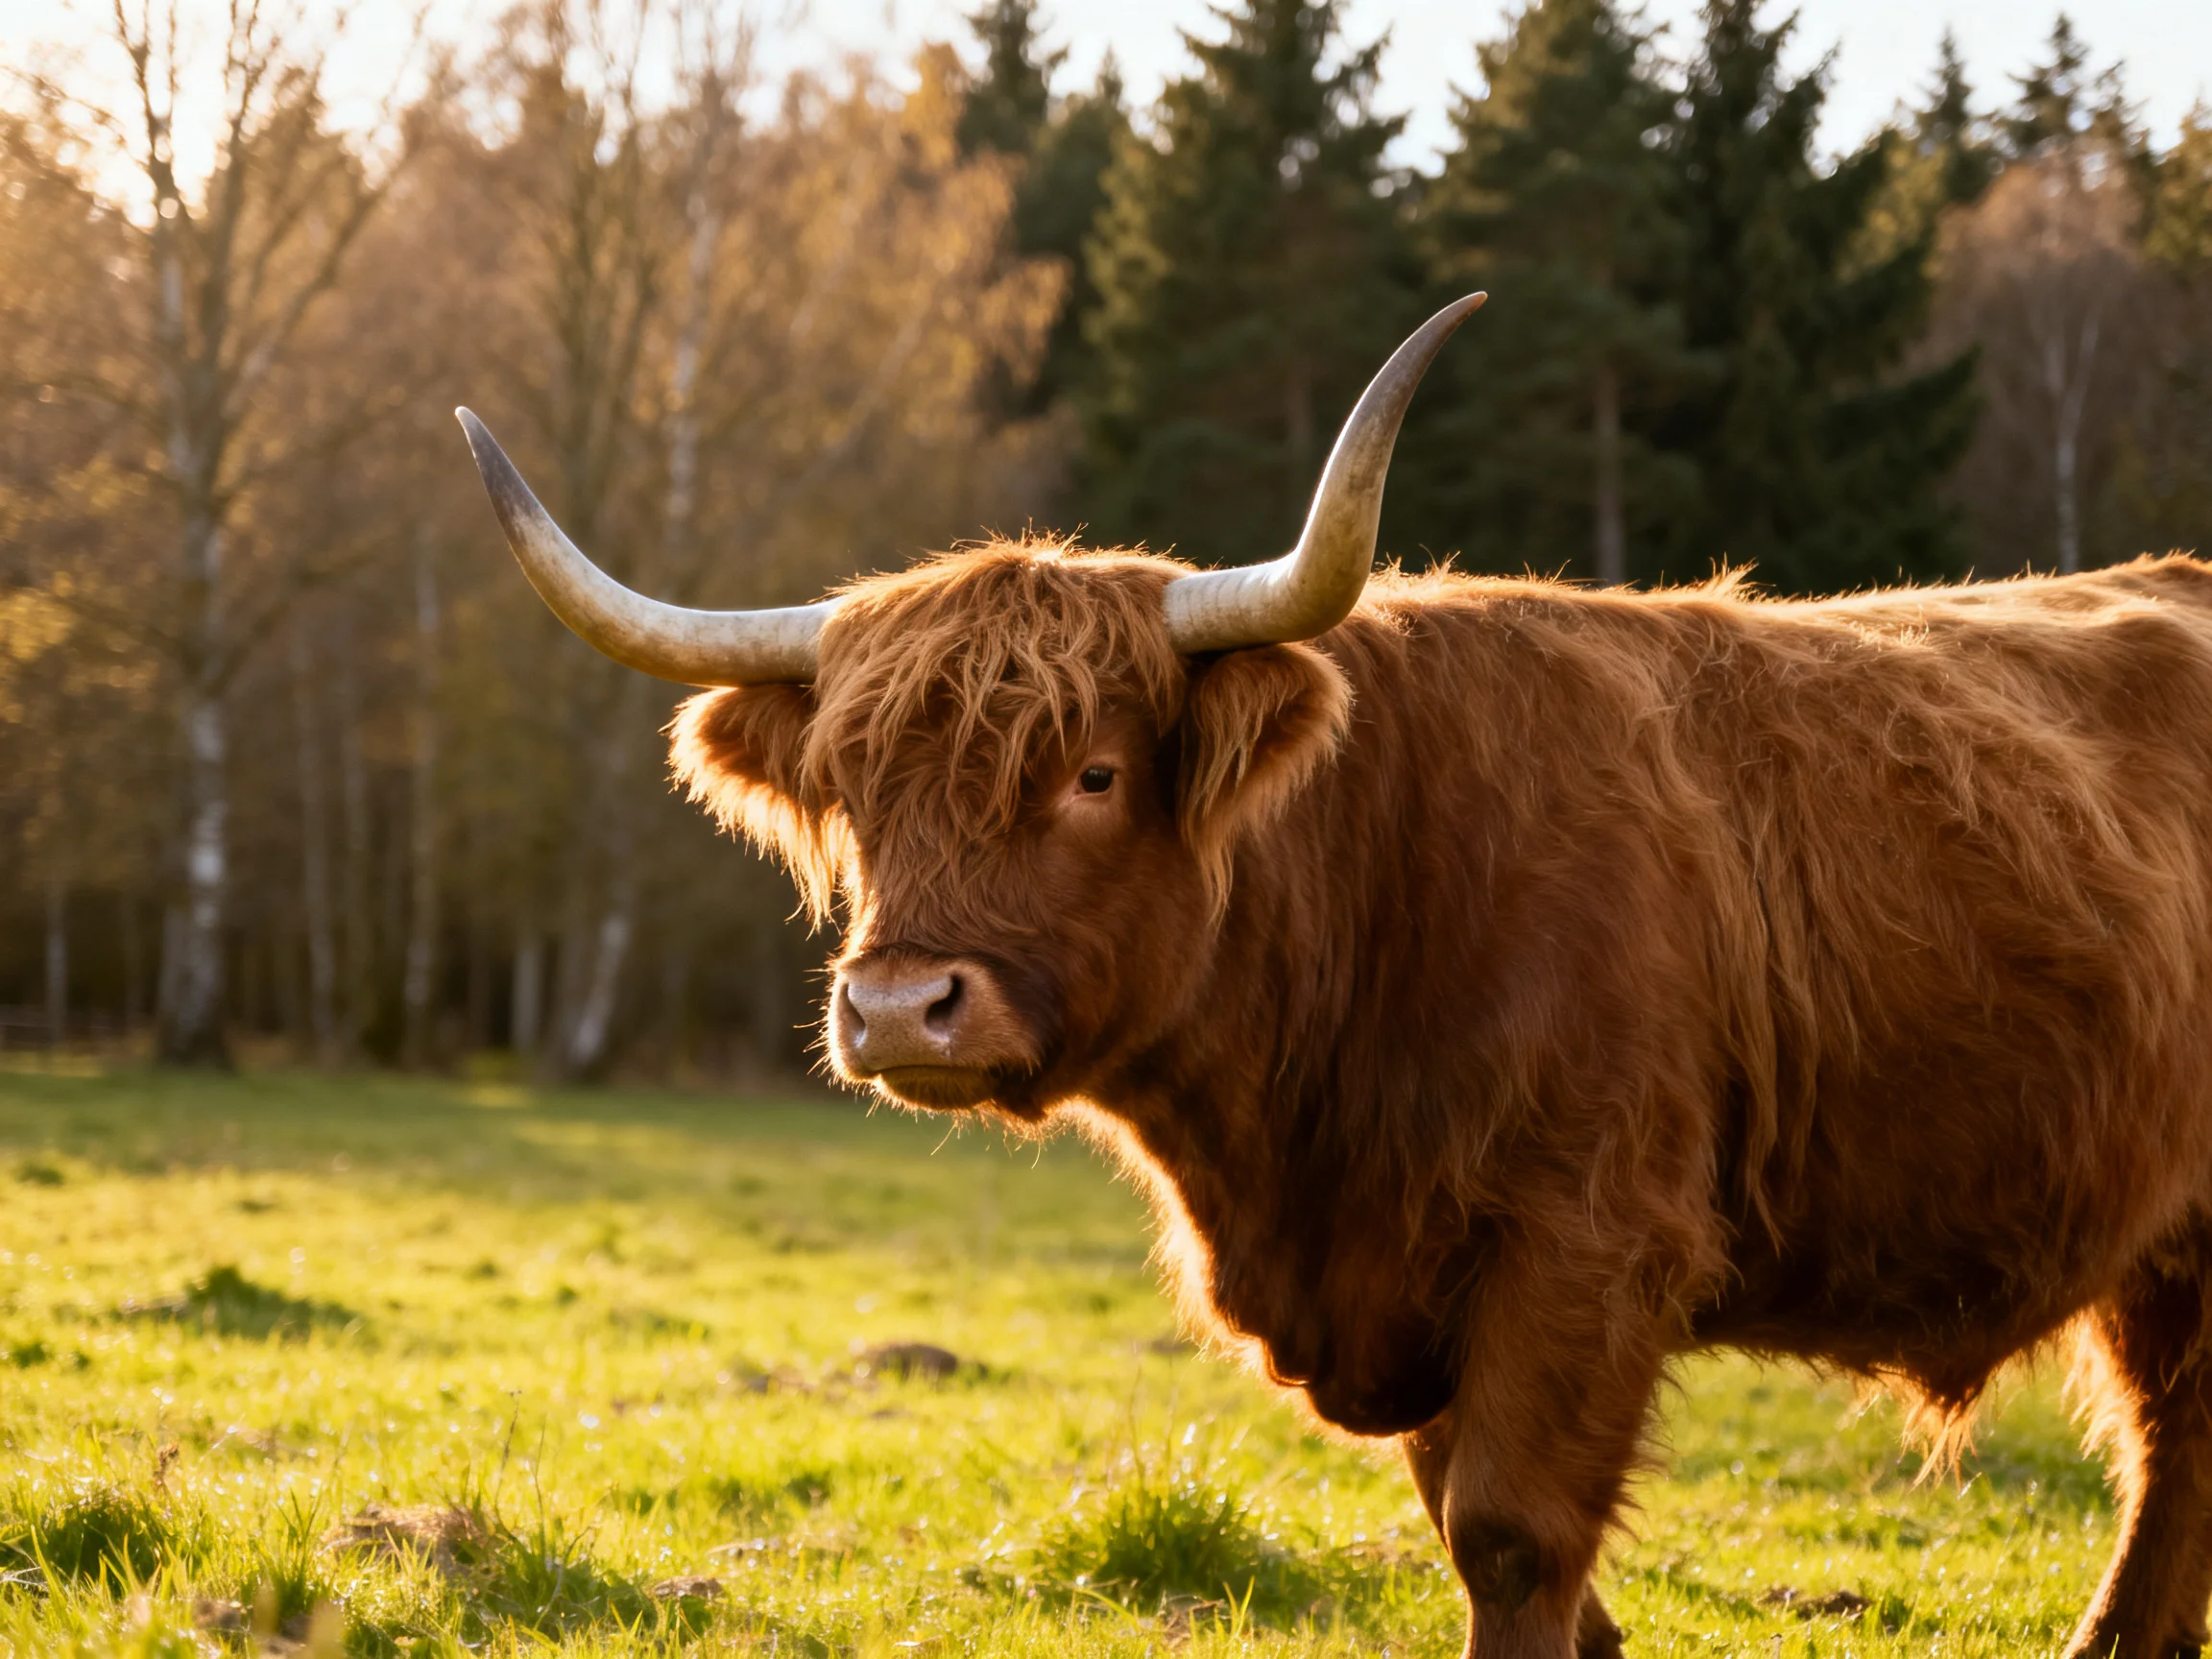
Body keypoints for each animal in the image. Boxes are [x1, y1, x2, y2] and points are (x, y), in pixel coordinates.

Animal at [457, 294, 2212, 1659]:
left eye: (1094, 773)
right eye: (858, 787)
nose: (902, 1009)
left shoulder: (1584, 1237)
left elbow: (1510, 1537)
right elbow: (1494, 1536)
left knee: (2169, 1445)